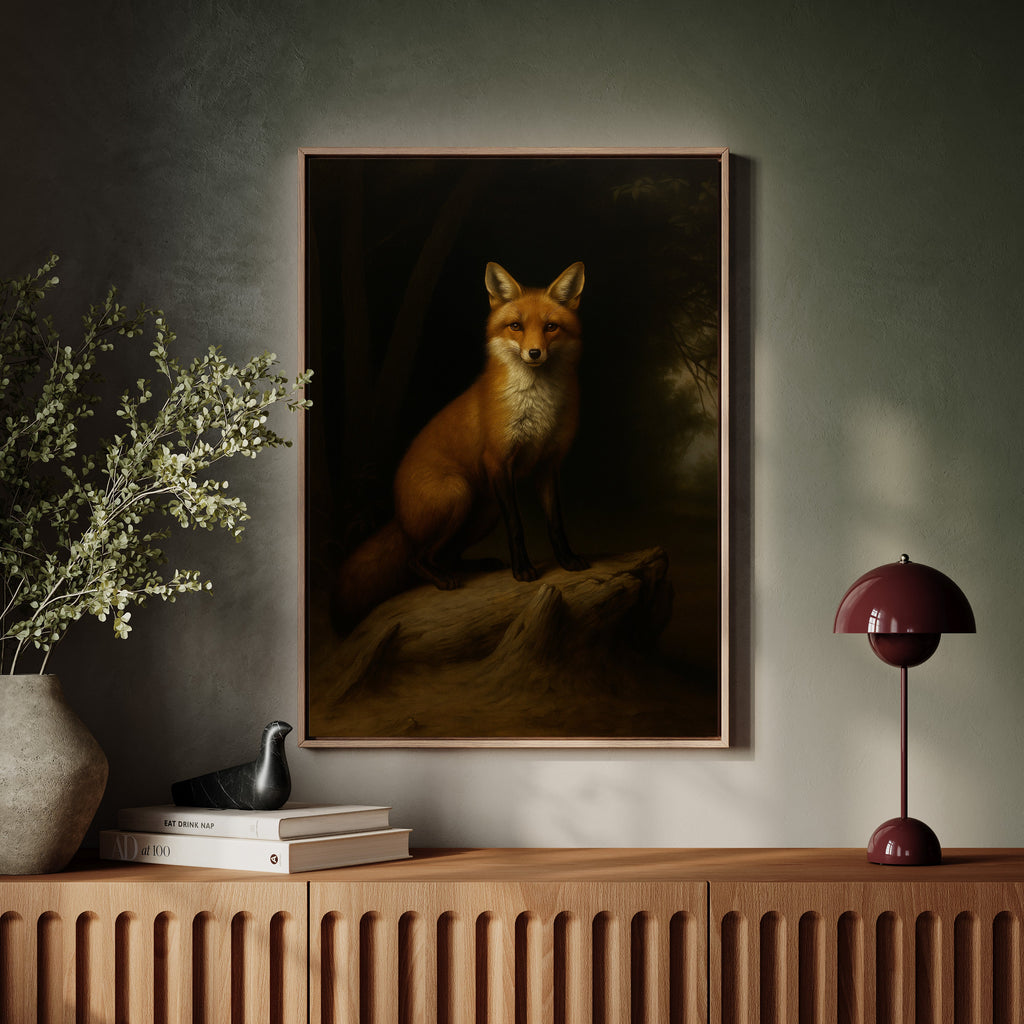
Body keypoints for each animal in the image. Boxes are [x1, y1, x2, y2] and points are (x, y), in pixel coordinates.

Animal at [332, 261, 590, 629]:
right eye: (516, 326)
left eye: (551, 327)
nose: (534, 352)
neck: (538, 407)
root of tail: (399, 516)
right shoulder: (498, 461)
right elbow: (517, 526)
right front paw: (523, 570)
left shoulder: (548, 464)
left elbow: (556, 522)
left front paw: (567, 560)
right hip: (459, 494)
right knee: (416, 559)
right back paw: (442, 579)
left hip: (484, 511)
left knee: (447, 553)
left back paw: (475, 565)